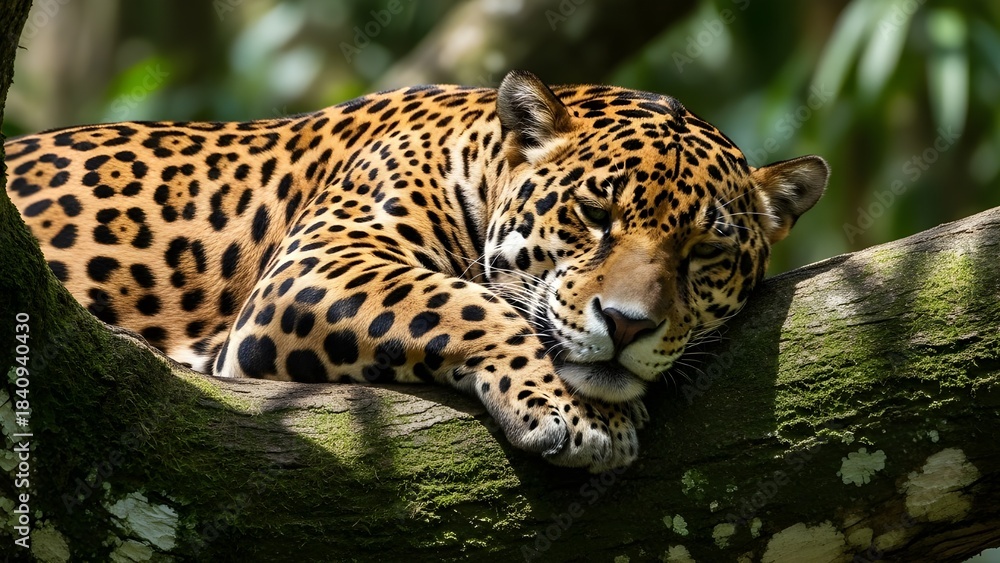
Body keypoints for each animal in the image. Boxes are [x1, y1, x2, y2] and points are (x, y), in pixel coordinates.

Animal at [5, 70, 828, 472]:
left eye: (706, 254)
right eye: (595, 214)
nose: (626, 326)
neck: (477, 152)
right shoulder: (321, 261)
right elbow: (466, 300)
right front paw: (580, 416)